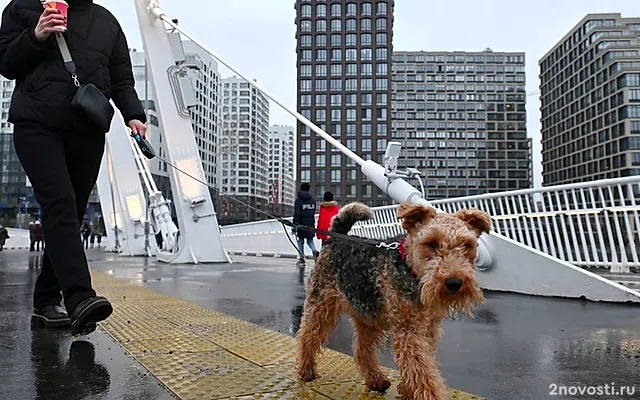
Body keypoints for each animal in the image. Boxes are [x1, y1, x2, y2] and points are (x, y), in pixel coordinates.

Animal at [296, 202, 490, 398]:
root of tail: (335, 239)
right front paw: (431, 394)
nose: (454, 282)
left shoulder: (428, 328)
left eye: (466, 245)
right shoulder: (409, 329)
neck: (411, 269)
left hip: (367, 317)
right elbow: (422, 369)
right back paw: (306, 370)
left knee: (361, 349)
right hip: (320, 305)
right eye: (431, 243)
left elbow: (419, 364)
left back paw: (376, 380)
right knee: (307, 336)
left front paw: (406, 389)